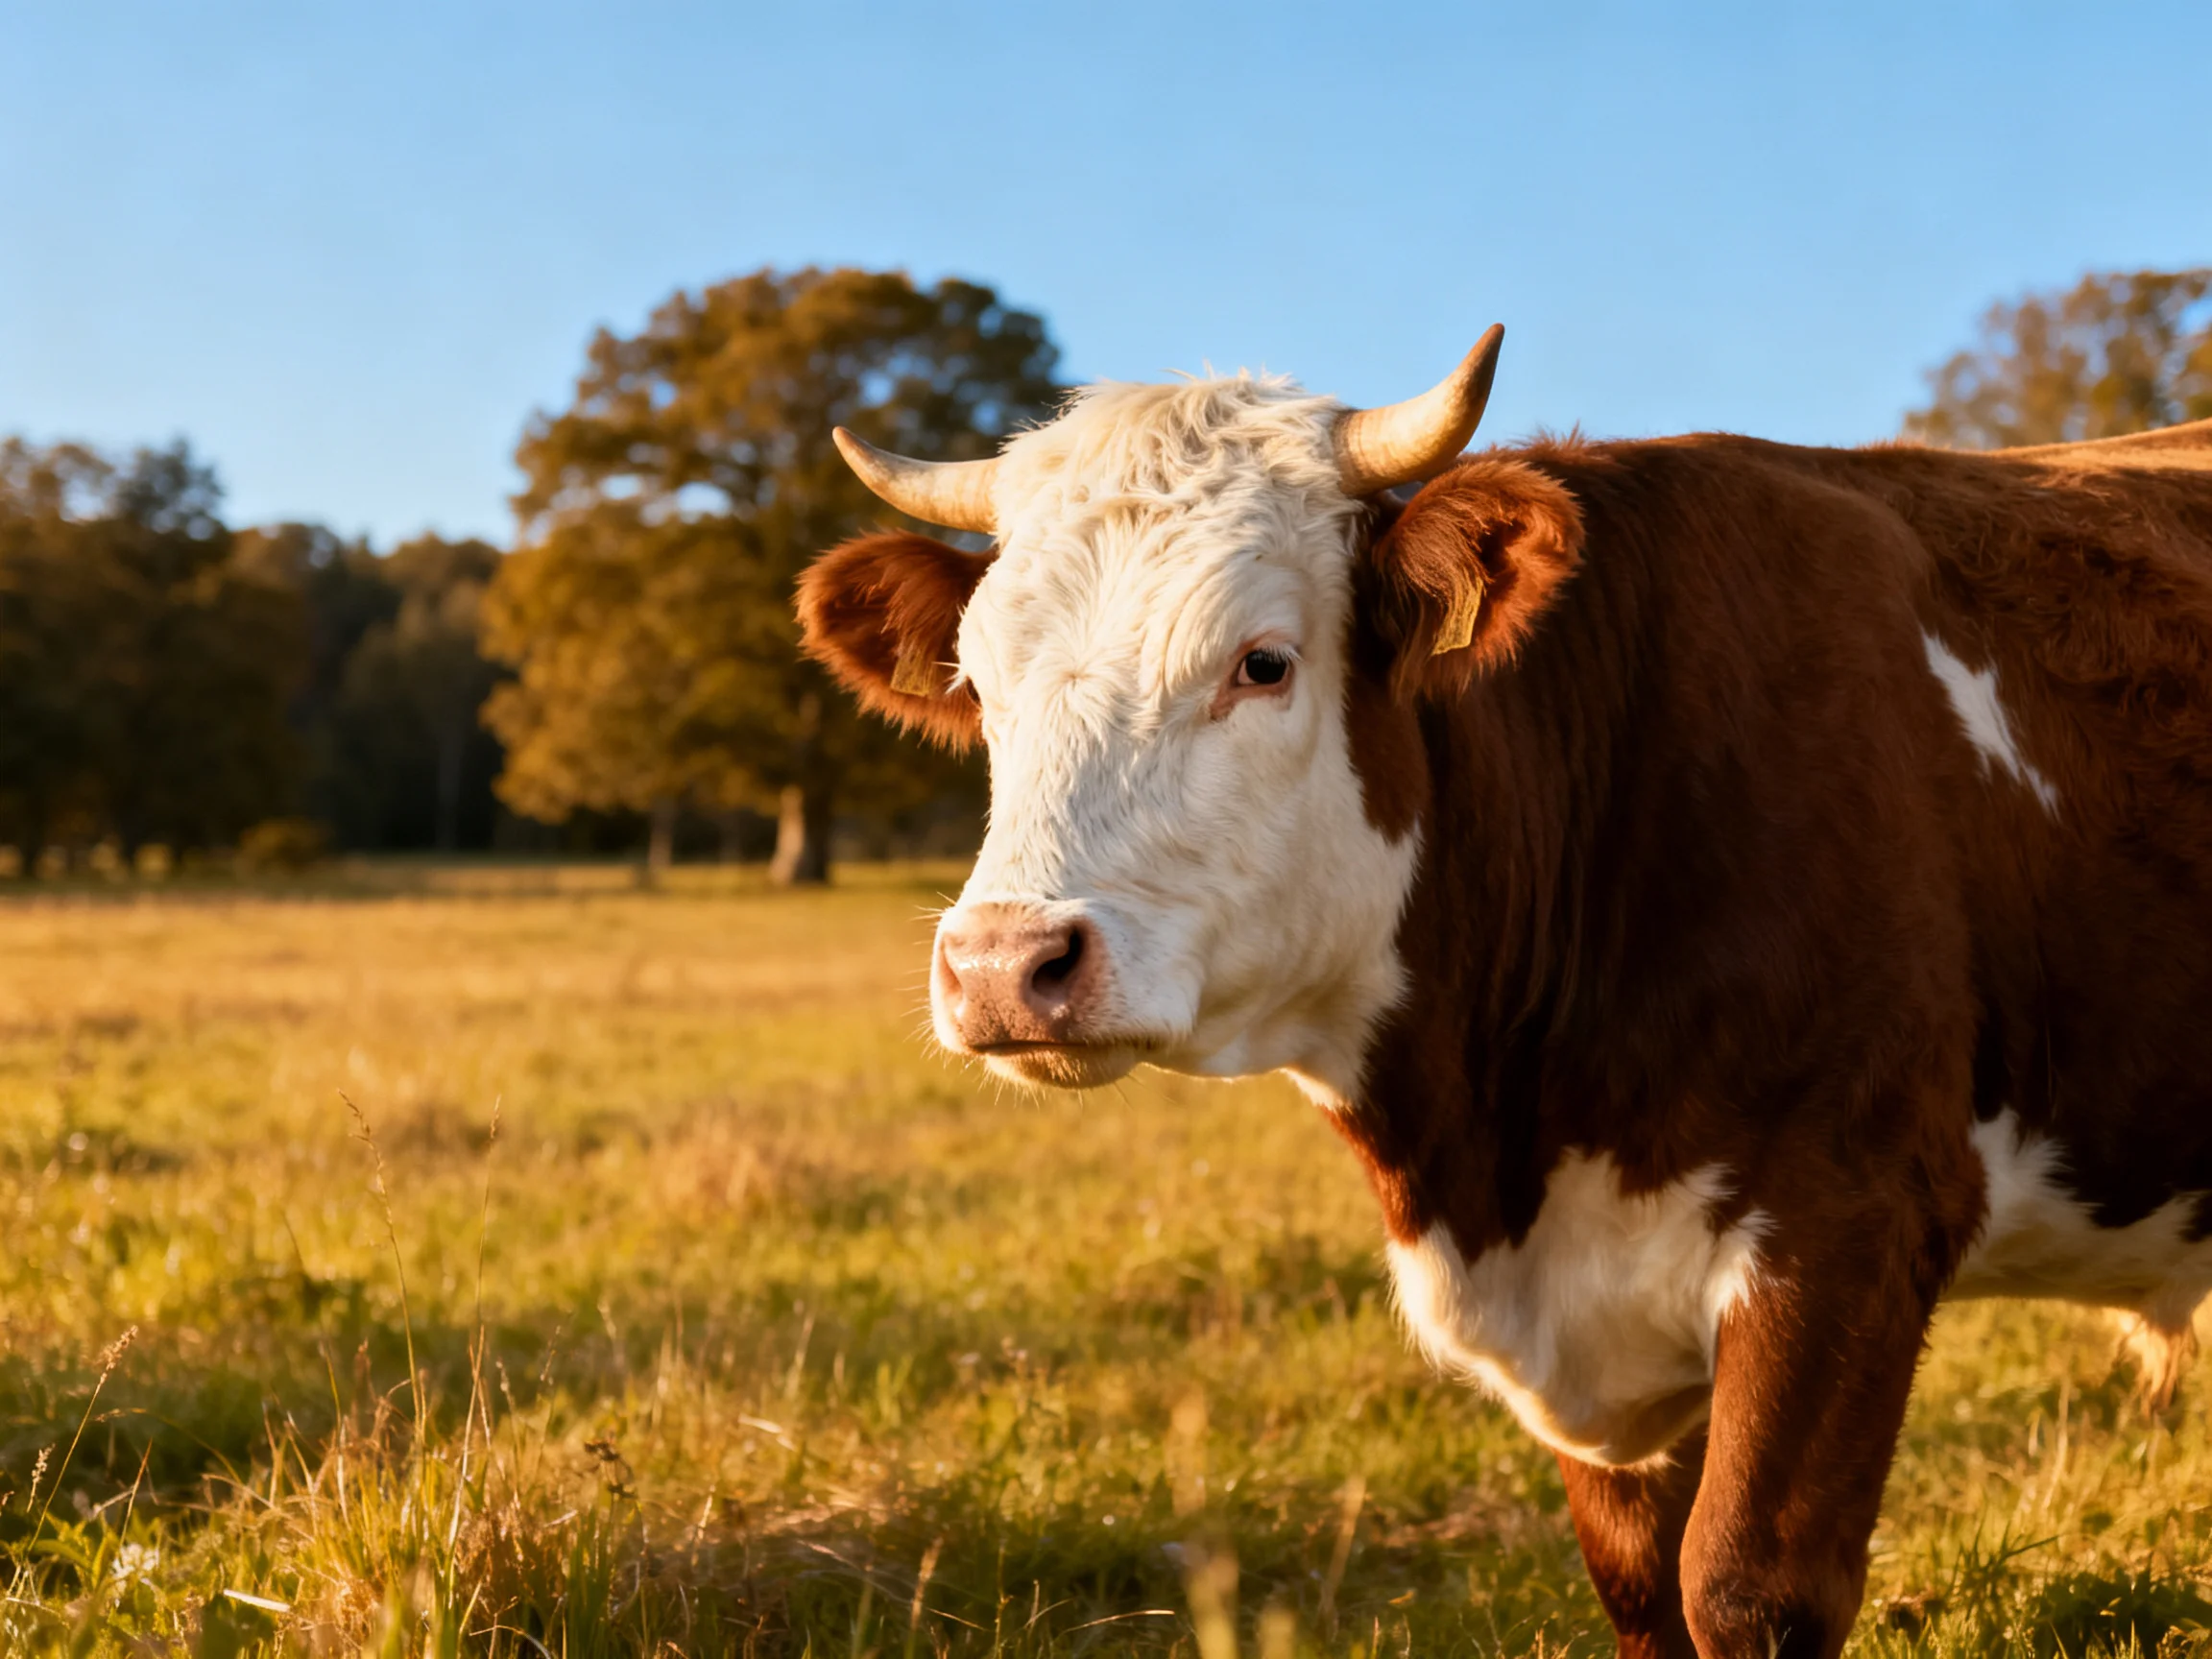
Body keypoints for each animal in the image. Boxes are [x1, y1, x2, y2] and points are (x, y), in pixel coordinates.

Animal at [794, 325, 2212, 1659]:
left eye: (1263, 663)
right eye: (978, 686)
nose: (1003, 966)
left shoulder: (1855, 1225)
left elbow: (1743, 1588)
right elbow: (1647, 1591)